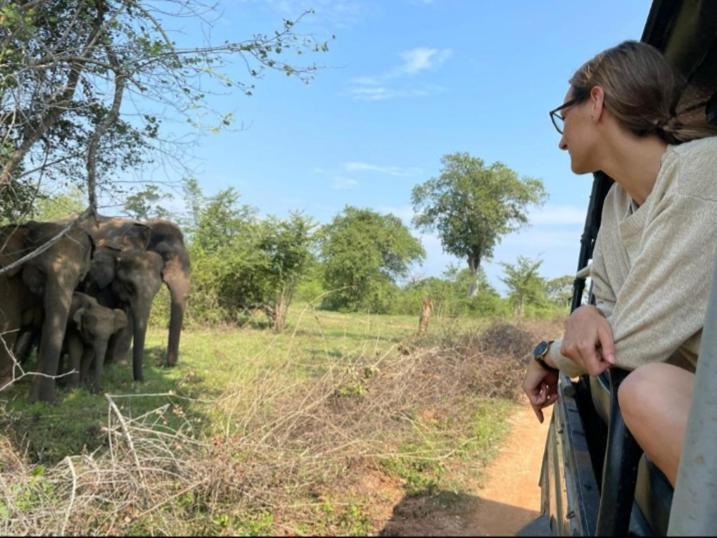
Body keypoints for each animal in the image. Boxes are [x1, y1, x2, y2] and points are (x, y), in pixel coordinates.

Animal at [0, 220, 93, 400]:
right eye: (40, 271)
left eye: (80, 276)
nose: (51, 402)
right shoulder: (7, 282)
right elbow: (10, 324)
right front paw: (5, 389)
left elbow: (45, 329)